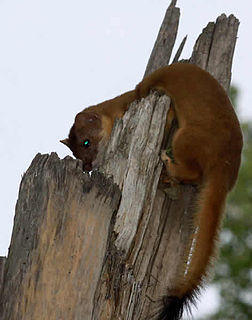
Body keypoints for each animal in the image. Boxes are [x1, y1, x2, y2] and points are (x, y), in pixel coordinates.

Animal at [60, 63, 242, 320]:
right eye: (75, 153)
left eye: (86, 142)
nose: (86, 166)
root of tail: (227, 168)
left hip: (186, 135)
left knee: (192, 170)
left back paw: (167, 160)